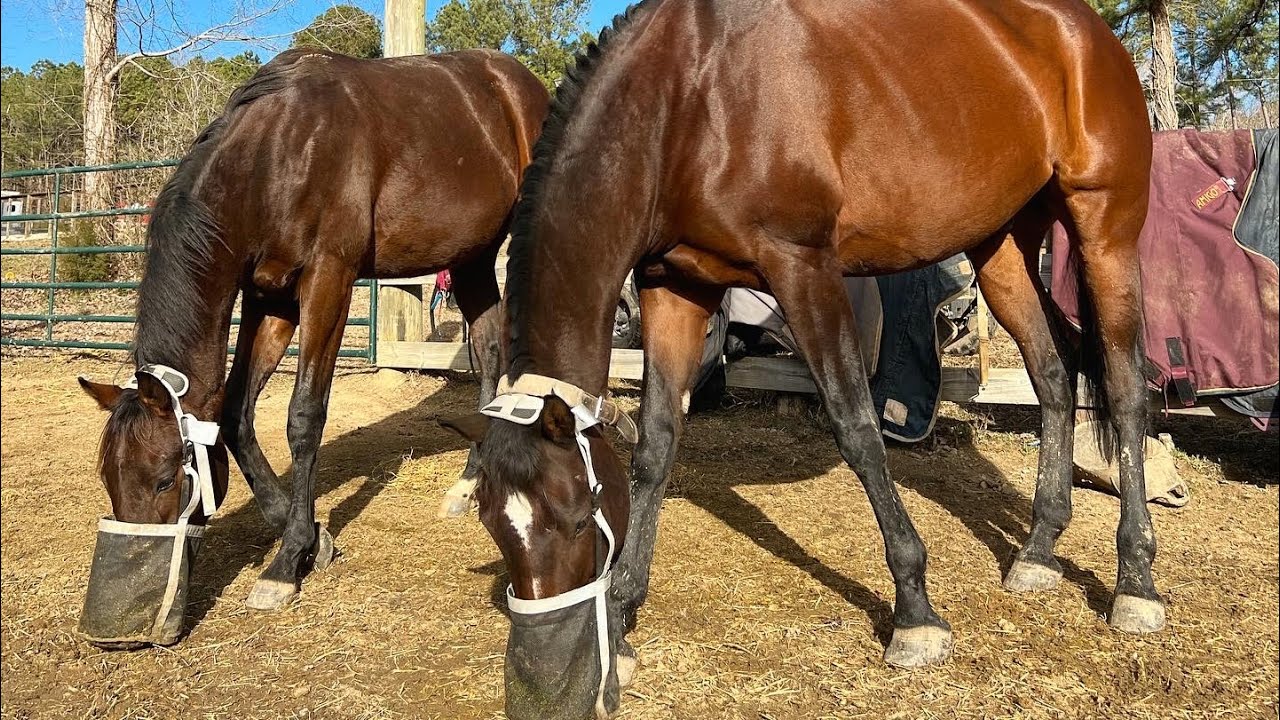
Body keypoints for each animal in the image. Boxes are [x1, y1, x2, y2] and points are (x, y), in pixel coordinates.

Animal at [78, 48, 548, 615]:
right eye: (109, 480)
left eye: (165, 478)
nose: (132, 601)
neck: (275, 154)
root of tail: (521, 84)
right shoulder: (270, 297)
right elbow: (235, 413)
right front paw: (305, 536)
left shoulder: (328, 282)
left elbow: (304, 417)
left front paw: (287, 560)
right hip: (472, 256)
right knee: (489, 345)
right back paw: (471, 479)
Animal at [441, 1, 1159, 717]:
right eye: (495, 527)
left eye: (574, 516)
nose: (543, 676)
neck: (685, 97)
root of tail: (1085, 33)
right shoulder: (673, 285)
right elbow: (656, 446)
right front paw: (619, 622)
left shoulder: (805, 267)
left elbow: (857, 428)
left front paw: (916, 612)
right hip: (1002, 245)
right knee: (1055, 373)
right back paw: (1039, 548)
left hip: (1105, 230)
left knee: (1125, 388)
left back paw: (1136, 581)